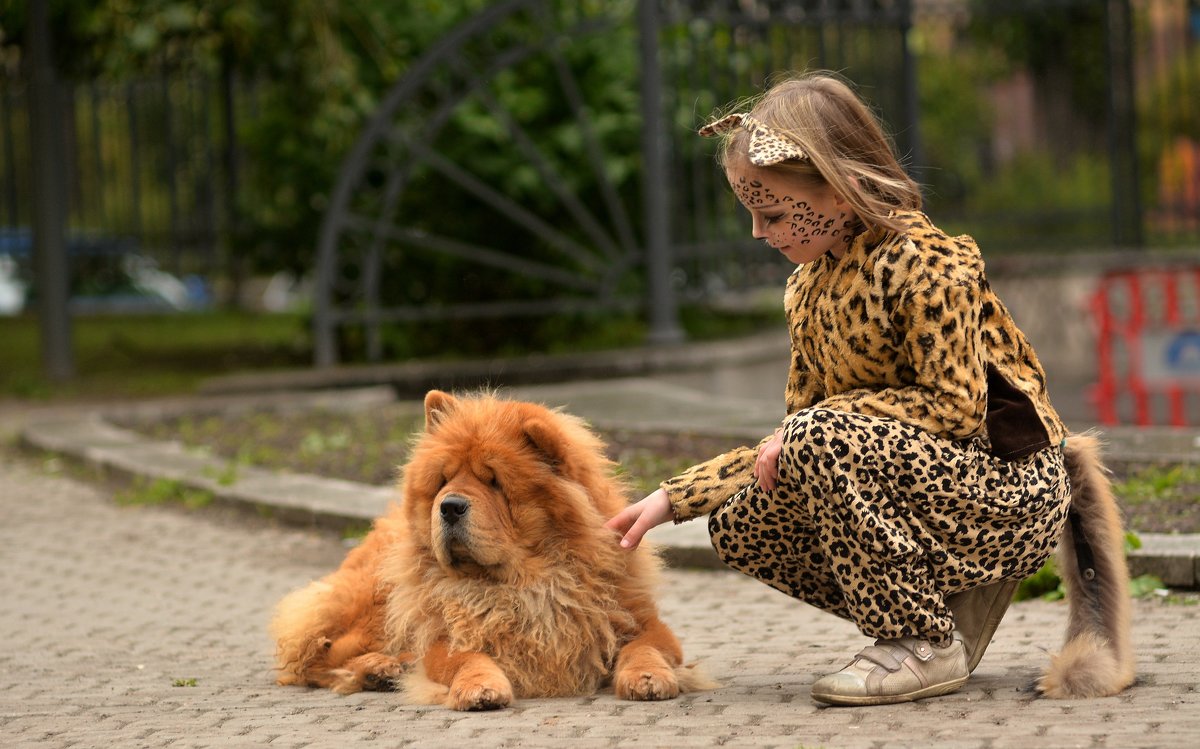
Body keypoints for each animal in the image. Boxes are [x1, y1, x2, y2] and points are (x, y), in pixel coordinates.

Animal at [267, 388, 705, 710]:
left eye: (494, 481)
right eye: (443, 479)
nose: (449, 506)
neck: (525, 585)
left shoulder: (640, 621)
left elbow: (643, 646)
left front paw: (648, 678)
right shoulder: (447, 639)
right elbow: (465, 658)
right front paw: (479, 688)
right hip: (376, 603)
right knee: (314, 656)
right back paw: (381, 668)